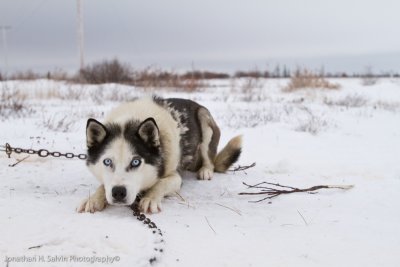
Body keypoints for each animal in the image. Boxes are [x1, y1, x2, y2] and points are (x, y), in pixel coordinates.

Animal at [77, 97, 241, 215]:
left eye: (136, 162)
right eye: (107, 161)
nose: (118, 192)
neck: (131, 121)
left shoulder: (175, 177)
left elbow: (160, 184)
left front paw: (150, 198)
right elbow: (103, 186)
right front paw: (94, 198)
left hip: (204, 120)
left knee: (209, 160)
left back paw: (205, 170)